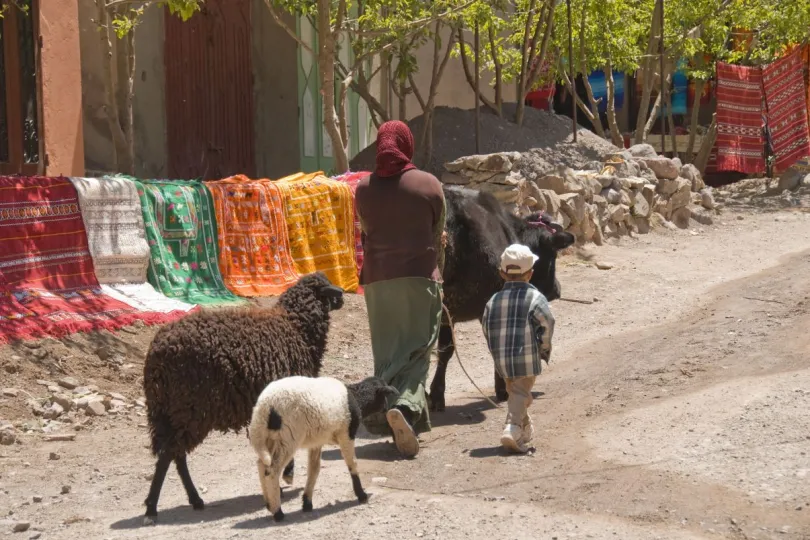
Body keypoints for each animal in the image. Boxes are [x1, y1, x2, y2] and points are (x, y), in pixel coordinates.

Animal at [142, 272, 344, 524]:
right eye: (328, 289)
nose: (342, 296)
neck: (296, 326)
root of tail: (156, 353)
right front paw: (286, 475)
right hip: (189, 409)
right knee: (168, 454)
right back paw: (152, 508)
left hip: (175, 413)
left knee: (176, 455)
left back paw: (195, 499)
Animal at [246, 374, 398, 520]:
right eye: (384, 395)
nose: (387, 409)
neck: (357, 399)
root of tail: (265, 407)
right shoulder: (346, 433)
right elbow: (352, 463)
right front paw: (361, 495)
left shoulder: (316, 441)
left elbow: (314, 469)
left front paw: (307, 502)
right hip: (288, 438)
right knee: (272, 471)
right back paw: (278, 512)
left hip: (269, 438)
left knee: (262, 465)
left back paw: (269, 503)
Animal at [430, 186, 576, 410]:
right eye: (553, 255)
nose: (557, 289)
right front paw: (502, 389)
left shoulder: (448, 312)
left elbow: (445, 350)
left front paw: (436, 396)